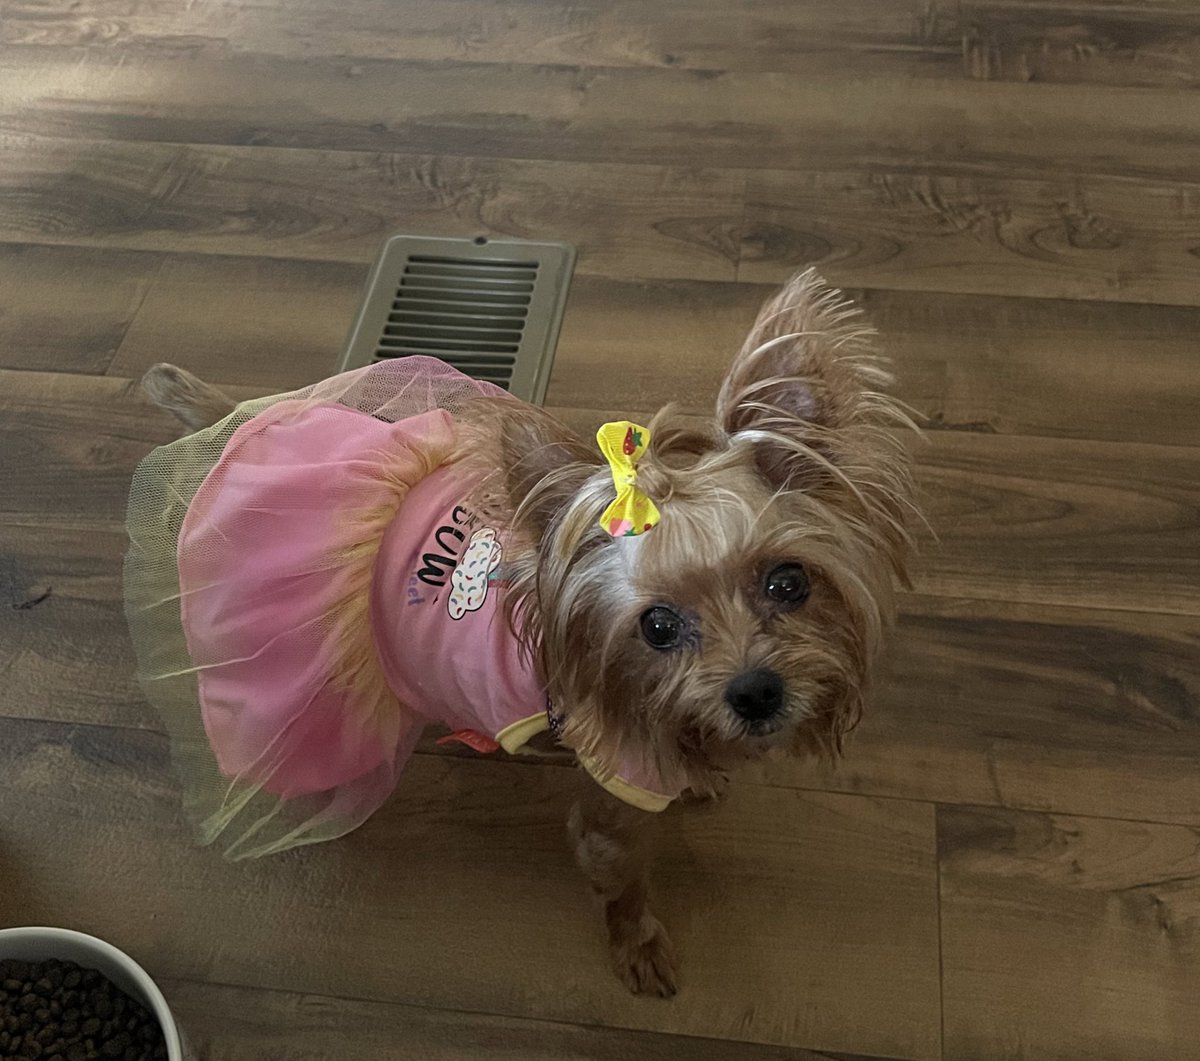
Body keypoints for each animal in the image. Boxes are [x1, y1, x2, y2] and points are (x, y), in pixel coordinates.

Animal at [133, 268, 916, 998]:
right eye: (657, 626)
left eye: (789, 582)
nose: (756, 692)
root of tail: (236, 430)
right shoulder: (615, 795)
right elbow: (623, 883)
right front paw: (637, 945)